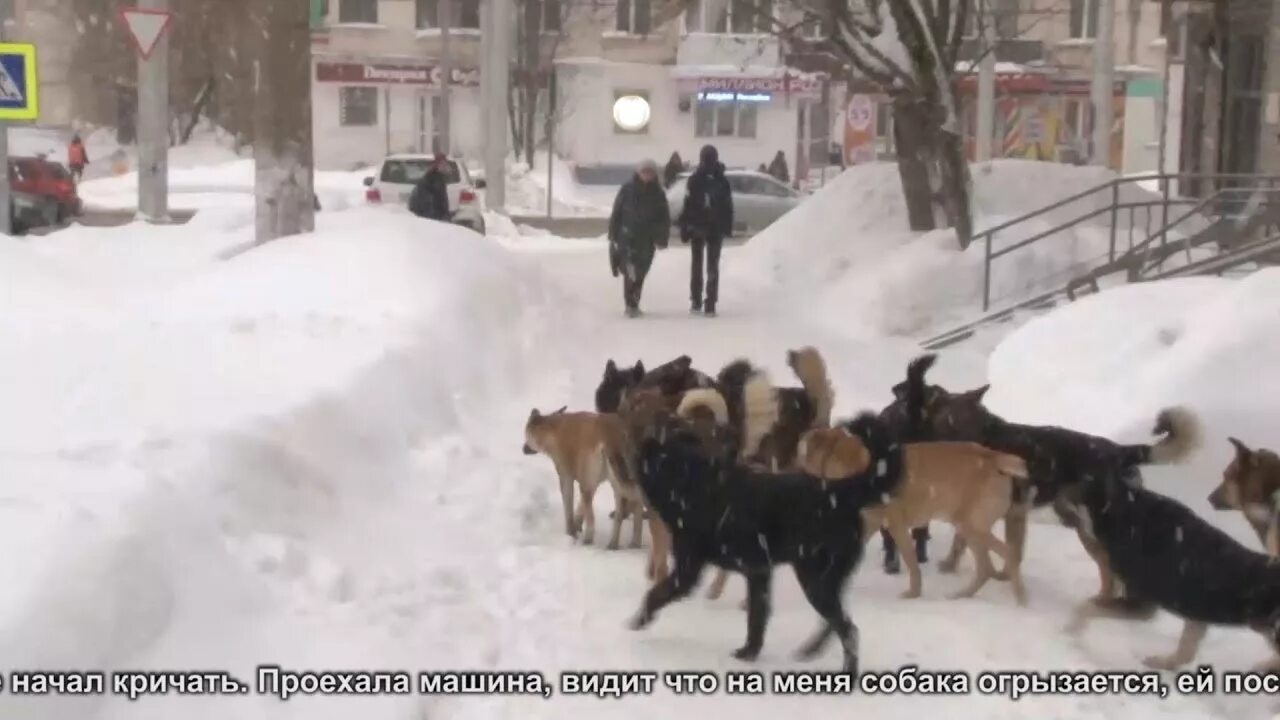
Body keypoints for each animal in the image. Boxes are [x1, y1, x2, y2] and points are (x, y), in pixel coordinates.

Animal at [519, 404, 670, 576]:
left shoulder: (568, 478)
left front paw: (570, 533)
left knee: (593, 518)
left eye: (526, 435)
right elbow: (581, 507)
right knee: (624, 514)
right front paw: (577, 525)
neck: (553, 429)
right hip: (620, 483)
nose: (523, 448)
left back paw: (588, 541)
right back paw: (622, 544)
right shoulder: (594, 482)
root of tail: (610, 435)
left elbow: (569, 509)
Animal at [627, 409, 906, 671]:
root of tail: (841, 491)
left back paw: (847, 671)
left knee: (848, 630)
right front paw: (750, 652)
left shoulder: (688, 570)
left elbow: (656, 593)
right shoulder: (758, 573)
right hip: (830, 578)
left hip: (814, 578)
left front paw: (639, 619)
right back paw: (810, 651)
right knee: (836, 623)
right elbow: (757, 616)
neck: (691, 480)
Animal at [793, 422, 1034, 602]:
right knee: (986, 569)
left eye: (802, 450)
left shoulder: (897, 526)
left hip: (971, 527)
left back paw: (1021, 602)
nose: (790, 467)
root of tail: (993, 457)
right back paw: (962, 595)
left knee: (1008, 554)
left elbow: (911, 562)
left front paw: (913, 594)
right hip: (969, 528)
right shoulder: (869, 524)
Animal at [1064, 450, 1280, 671]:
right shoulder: (1196, 614)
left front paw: (1071, 632)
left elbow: (1087, 607)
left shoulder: (1142, 605)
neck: (1125, 508)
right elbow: (1185, 651)